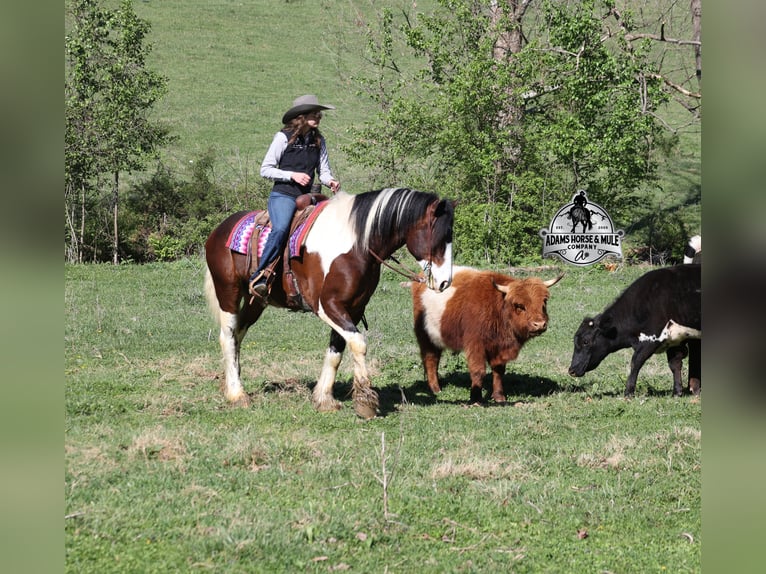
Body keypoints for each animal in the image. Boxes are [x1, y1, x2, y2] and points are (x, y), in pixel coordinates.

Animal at [204, 187, 456, 419]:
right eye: (439, 237)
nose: (445, 282)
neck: (357, 244)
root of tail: (219, 230)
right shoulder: (326, 306)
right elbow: (358, 343)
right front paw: (365, 402)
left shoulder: (354, 308)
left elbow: (337, 350)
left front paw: (324, 399)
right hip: (228, 292)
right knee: (228, 336)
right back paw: (237, 394)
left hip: (256, 300)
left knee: (239, 333)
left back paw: (233, 383)